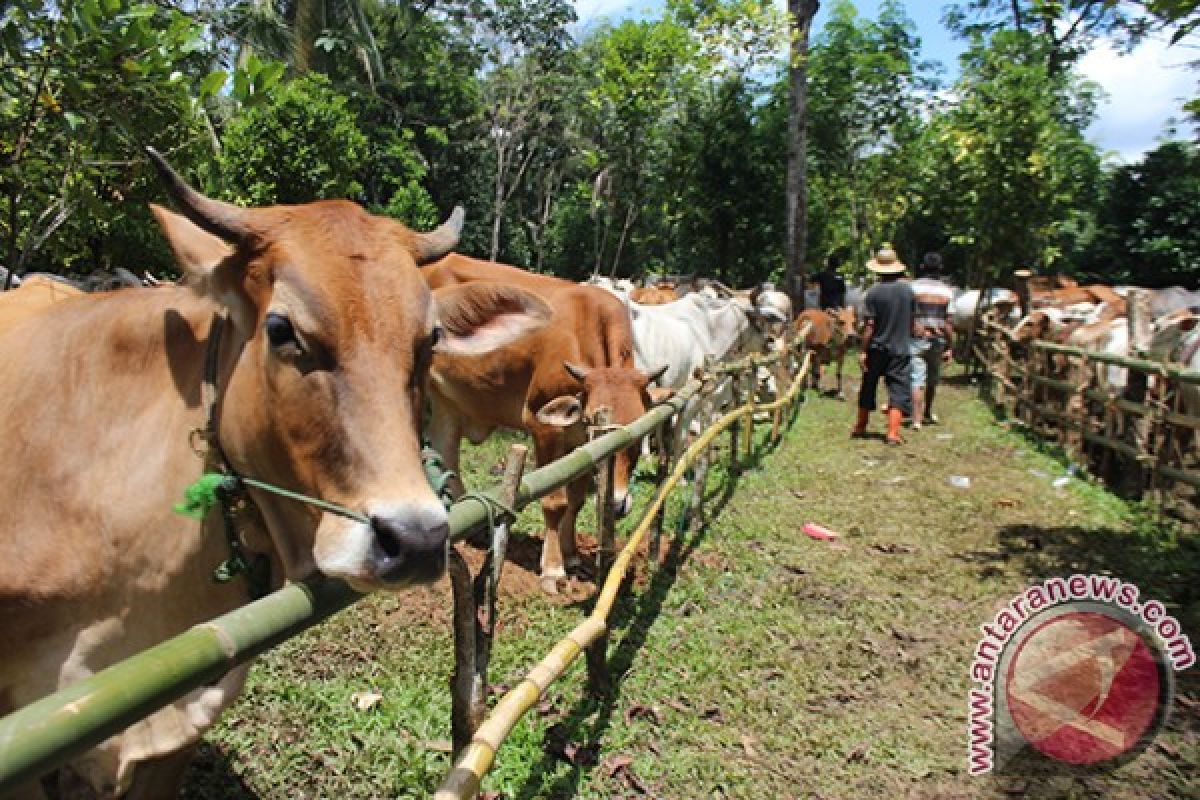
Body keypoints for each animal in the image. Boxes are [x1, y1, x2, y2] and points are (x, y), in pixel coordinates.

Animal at [422, 253, 667, 592]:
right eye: (591, 420)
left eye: (640, 426)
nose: (618, 505)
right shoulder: (545, 428)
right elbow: (555, 501)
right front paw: (553, 569)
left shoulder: (578, 444)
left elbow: (576, 500)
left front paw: (572, 554)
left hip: (447, 403)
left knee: (445, 453)